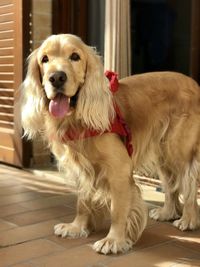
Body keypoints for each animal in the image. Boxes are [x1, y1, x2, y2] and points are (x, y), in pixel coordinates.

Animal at [20, 34, 200, 254]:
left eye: (75, 56)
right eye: (44, 59)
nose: (57, 78)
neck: (76, 120)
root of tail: (194, 84)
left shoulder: (119, 169)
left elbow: (118, 210)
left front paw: (114, 240)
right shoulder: (82, 169)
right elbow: (83, 202)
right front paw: (77, 227)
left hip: (178, 150)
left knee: (188, 182)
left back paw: (189, 219)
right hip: (162, 153)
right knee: (171, 184)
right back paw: (168, 212)